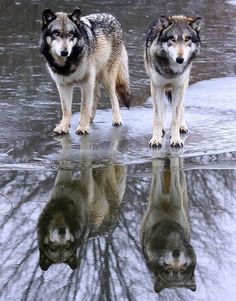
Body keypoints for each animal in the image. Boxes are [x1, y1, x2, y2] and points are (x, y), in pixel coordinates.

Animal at [37, 136, 126, 270]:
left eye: (67, 246)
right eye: (54, 248)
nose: (62, 231)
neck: (61, 211)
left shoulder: (85, 183)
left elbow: (82, 160)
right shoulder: (62, 182)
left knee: (112, 146)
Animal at [141, 158, 196, 292]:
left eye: (182, 269)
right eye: (168, 269)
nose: (176, 254)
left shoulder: (176, 200)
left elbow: (174, 173)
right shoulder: (155, 197)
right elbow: (157, 166)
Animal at [145, 15, 202, 147]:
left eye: (187, 39)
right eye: (172, 39)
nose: (180, 59)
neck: (171, 70)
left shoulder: (178, 87)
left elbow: (175, 117)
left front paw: (176, 139)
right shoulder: (157, 86)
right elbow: (157, 117)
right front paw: (156, 139)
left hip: (184, 85)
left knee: (182, 106)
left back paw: (182, 126)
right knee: (163, 107)